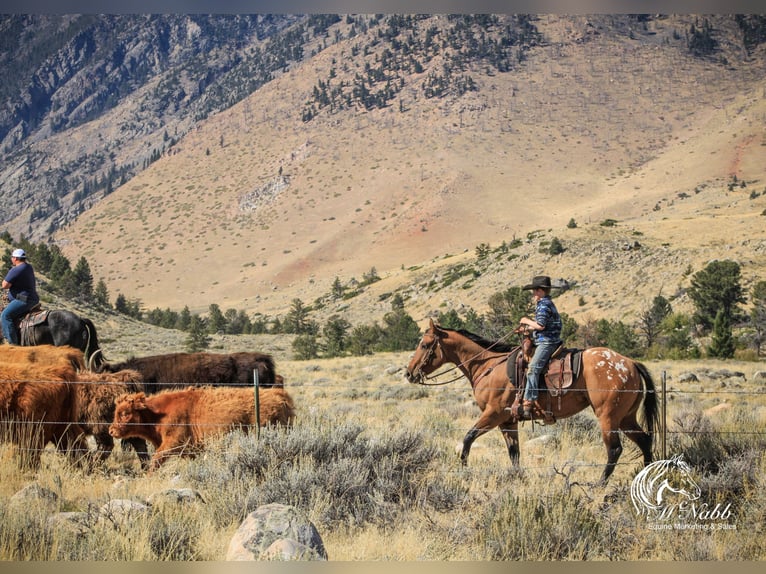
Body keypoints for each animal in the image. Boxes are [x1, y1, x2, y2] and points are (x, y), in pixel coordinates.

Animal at [109, 388, 296, 472]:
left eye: (125, 413)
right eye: (116, 412)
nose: (111, 431)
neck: (159, 414)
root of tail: (280, 394)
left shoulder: (173, 443)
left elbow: (156, 459)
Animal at [404, 320, 664, 486]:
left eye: (425, 345)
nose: (409, 373)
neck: (488, 366)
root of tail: (630, 363)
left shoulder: (493, 414)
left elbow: (468, 438)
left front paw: (464, 470)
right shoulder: (508, 420)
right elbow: (514, 453)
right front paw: (517, 478)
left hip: (608, 417)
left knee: (614, 449)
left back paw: (600, 484)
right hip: (626, 418)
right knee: (644, 441)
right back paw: (646, 478)